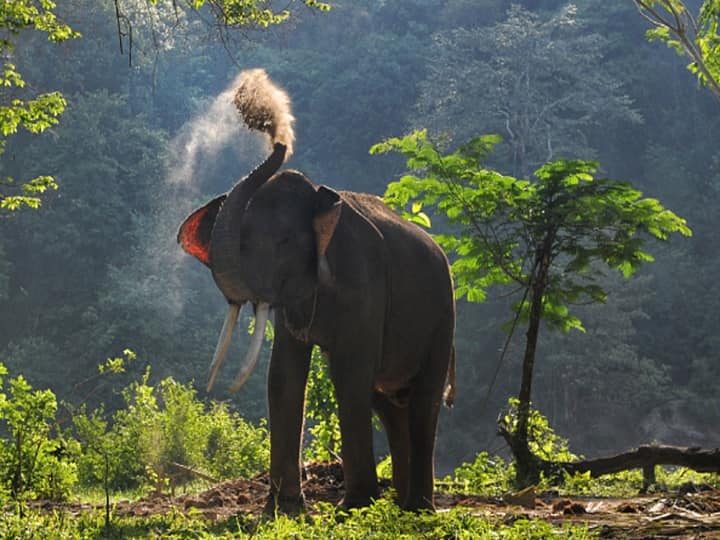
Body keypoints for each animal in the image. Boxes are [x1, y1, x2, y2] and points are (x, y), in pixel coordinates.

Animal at [176, 69, 452, 512]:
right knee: (388, 401)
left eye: (284, 242)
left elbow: (349, 373)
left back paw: (416, 507)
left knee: (422, 399)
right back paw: (398, 502)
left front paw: (353, 507)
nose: (256, 106)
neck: (322, 200)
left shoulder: (363, 280)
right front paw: (283, 509)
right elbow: (284, 375)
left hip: (443, 313)